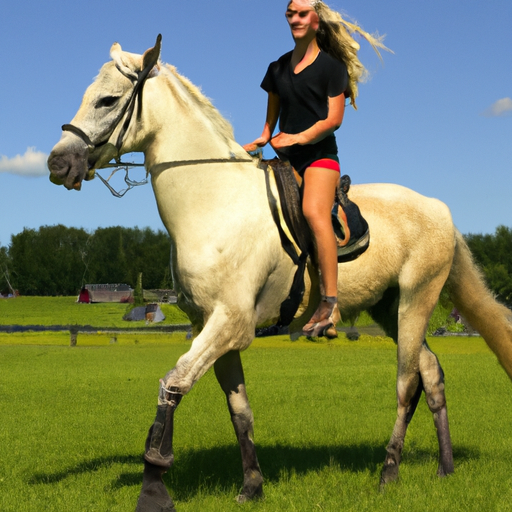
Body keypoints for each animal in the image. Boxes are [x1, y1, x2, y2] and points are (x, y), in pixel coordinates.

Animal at [48, 34, 512, 510]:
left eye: (107, 99)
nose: (57, 163)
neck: (213, 201)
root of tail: (440, 210)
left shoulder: (230, 323)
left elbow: (173, 384)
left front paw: (154, 485)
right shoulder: (211, 328)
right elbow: (239, 410)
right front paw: (252, 485)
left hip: (416, 301)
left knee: (406, 384)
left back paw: (389, 473)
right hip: (391, 309)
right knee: (431, 375)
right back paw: (445, 468)